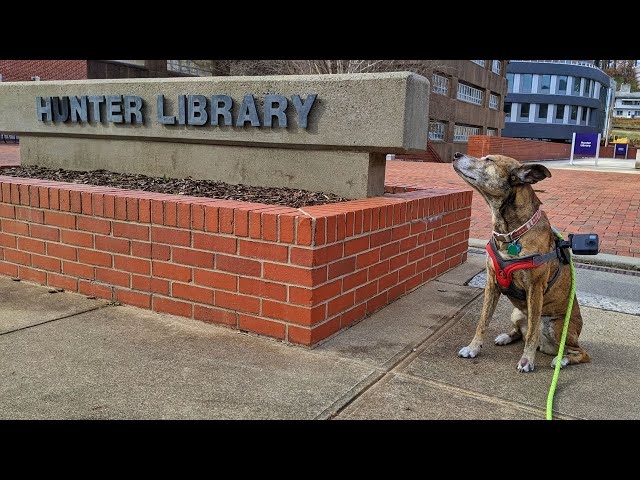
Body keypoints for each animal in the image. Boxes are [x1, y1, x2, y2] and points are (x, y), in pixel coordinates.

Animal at [452, 153, 588, 372]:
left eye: (489, 160)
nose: (457, 154)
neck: (509, 233)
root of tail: (546, 347)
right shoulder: (491, 284)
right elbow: (483, 321)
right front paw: (473, 348)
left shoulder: (535, 288)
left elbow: (532, 331)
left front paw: (527, 360)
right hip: (517, 313)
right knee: (520, 332)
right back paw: (506, 337)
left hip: (558, 327)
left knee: (580, 352)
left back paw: (562, 360)